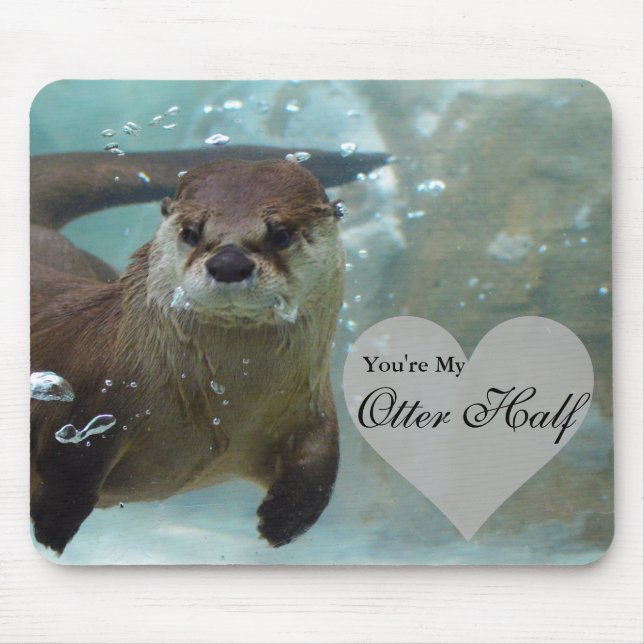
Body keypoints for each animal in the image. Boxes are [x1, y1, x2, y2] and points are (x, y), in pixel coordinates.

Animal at [30, 147, 388, 554]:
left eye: (281, 234)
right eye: (191, 232)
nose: (229, 262)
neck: (226, 404)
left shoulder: (313, 406)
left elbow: (321, 462)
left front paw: (283, 521)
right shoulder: (88, 405)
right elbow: (68, 469)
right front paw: (52, 529)